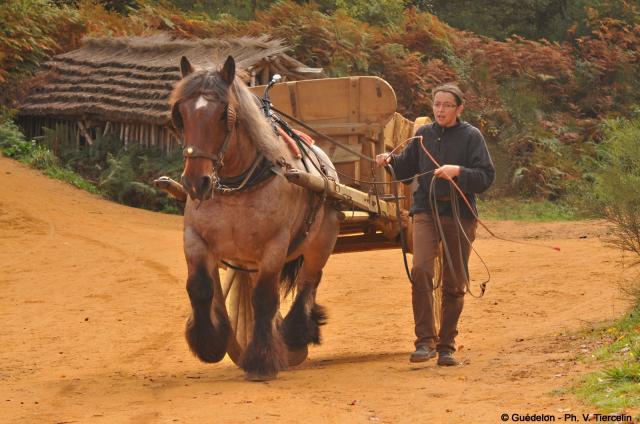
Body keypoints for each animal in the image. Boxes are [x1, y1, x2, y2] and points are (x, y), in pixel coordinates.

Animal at [169, 54, 340, 380]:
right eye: (180, 114)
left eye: (223, 114)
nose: (196, 183)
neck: (237, 185)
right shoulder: (194, 238)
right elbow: (200, 288)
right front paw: (209, 342)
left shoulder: (275, 245)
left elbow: (264, 298)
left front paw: (261, 359)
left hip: (321, 242)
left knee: (309, 282)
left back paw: (294, 335)